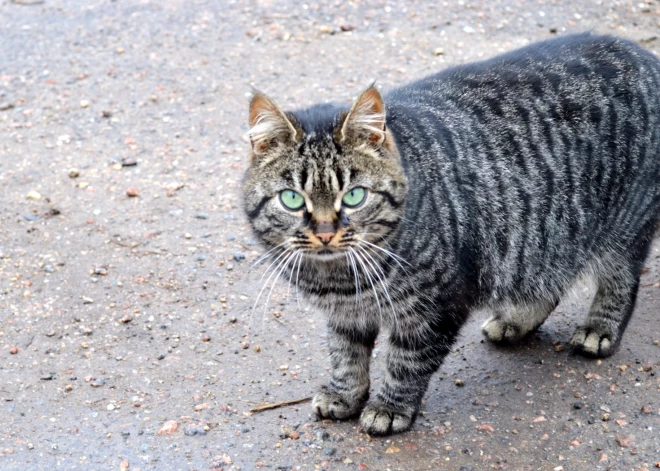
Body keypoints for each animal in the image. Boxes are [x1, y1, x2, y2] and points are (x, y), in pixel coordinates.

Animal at [241, 33, 660, 436]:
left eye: (355, 196)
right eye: (293, 199)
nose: (326, 232)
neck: (339, 279)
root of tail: (643, 55)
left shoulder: (436, 305)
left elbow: (406, 361)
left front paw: (390, 408)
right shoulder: (346, 315)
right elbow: (346, 355)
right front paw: (344, 395)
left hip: (621, 228)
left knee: (621, 281)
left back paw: (598, 329)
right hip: (544, 237)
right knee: (547, 279)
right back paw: (516, 320)